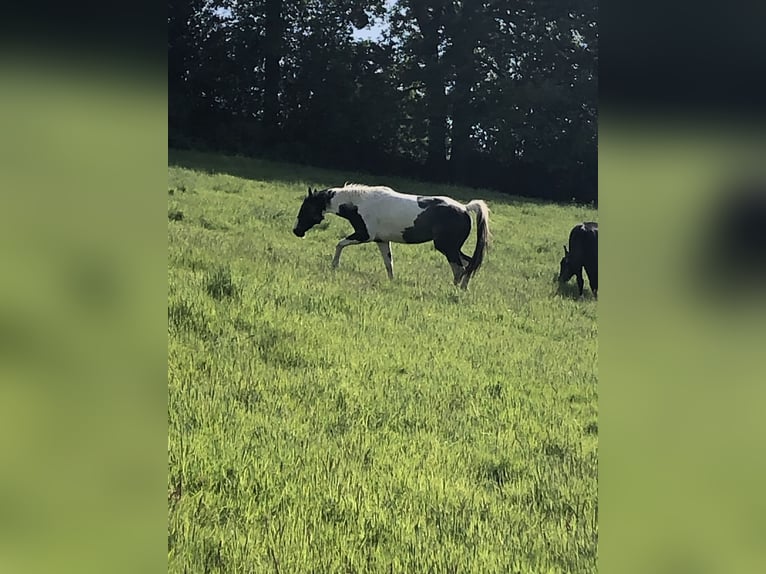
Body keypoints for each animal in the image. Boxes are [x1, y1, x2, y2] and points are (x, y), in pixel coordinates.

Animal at [294, 183, 492, 290]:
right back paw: (463, 289)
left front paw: (334, 265)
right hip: (453, 248)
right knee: (468, 265)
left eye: (306, 208)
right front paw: (391, 282)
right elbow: (389, 263)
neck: (360, 203)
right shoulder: (381, 241)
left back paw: (454, 290)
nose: (296, 231)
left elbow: (340, 244)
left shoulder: (364, 235)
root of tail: (465, 208)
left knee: (459, 268)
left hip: (447, 247)